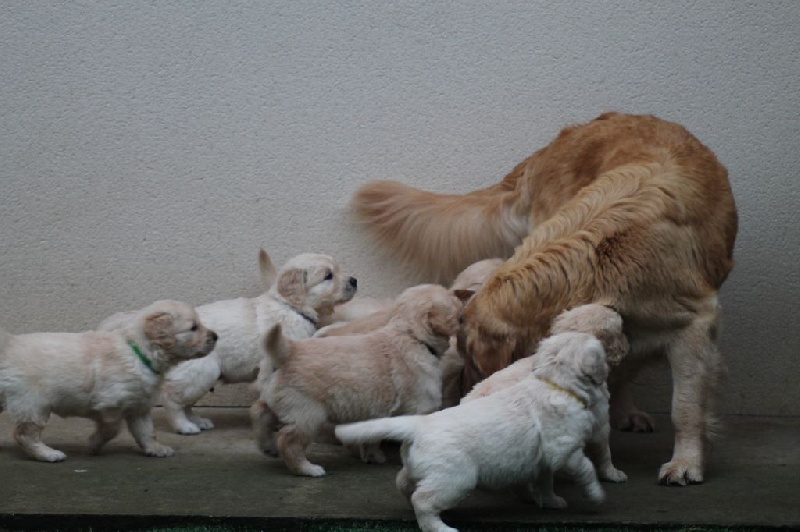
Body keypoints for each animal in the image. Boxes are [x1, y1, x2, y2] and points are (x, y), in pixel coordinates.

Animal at [0, 300, 217, 462]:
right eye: (193, 327)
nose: (216, 336)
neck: (138, 353)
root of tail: (8, 345)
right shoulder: (110, 405)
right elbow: (112, 429)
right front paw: (94, 444)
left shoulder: (139, 405)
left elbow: (146, 431)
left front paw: (155, 448)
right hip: (32, 404)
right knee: (25, 434)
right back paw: (48, 454)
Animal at [100, 247, 356, 434]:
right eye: (328, 276)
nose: (354, 280)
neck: (292, 307)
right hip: (202, 370)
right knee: (171, 398)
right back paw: (184, 426)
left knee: (185, 401)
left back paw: (198, 421)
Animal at [253, 284, 466, 476]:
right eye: (450, 297)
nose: (461, 300)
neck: (412, 336)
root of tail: (287, 351)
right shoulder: (419, 406)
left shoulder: (375, 412)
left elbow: (372, 436)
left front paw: (373, 457)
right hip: (307, 412)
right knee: (289, 441)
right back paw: (308, 469)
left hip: (280, 399)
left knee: (260, 412)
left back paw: (267, 446)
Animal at [334, 332, 616, 532]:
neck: (554, 383)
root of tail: (419, 424)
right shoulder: (565, 449)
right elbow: (586, 468)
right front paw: (596, 495)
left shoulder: (545, 459)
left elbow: (545, 481)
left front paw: (552, 501)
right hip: (456, 476)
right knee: (423, 500)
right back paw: (440, 528)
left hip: (422, 466)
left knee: (404, 484)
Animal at [350, 112, 736, 486]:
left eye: (473, 360)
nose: (459, 396)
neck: (600, 253)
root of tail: (559, 141)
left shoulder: (695, 325)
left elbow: (685, 405)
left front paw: (686, 463)